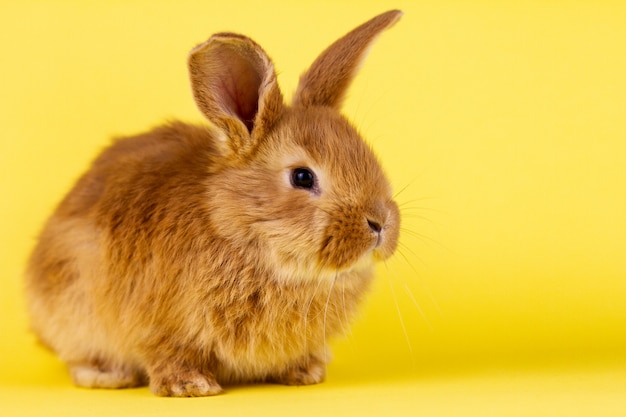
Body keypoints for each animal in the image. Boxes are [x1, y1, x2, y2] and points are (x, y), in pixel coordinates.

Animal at [25, 8, 400, 394]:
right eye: (302, 177)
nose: (380, 224)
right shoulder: (156, 323)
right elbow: (166, 352)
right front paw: (189, 386)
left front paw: (306, 373)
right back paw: (107, 376)